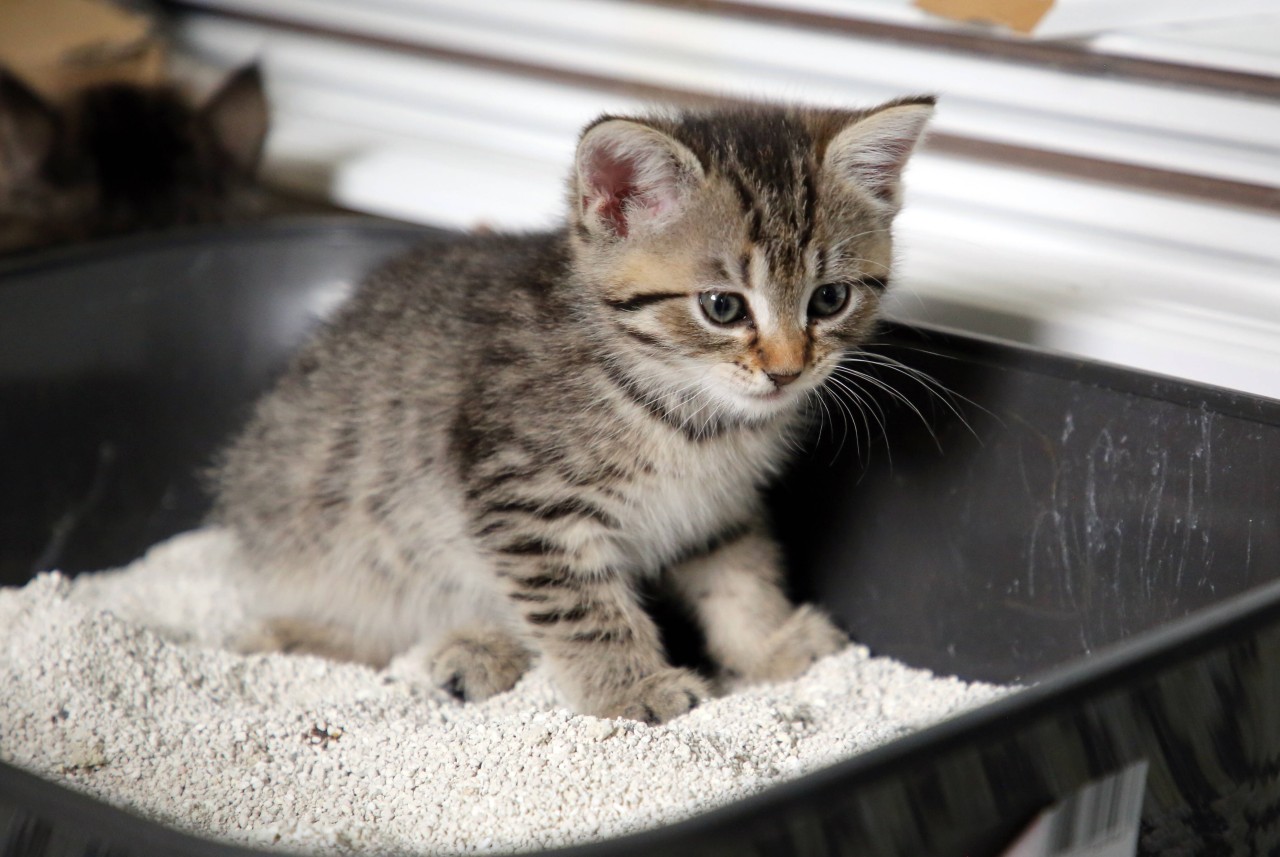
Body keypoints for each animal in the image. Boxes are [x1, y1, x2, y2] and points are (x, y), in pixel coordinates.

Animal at [215, 95, 936, 726]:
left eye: (830, 298)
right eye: (723, 307)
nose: (787, 369)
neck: (686, 414)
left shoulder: (718, 507)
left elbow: (740, 576)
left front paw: (768, 646)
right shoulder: (529, 502)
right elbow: (585, 610)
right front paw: (633, 689)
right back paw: (291, 634)